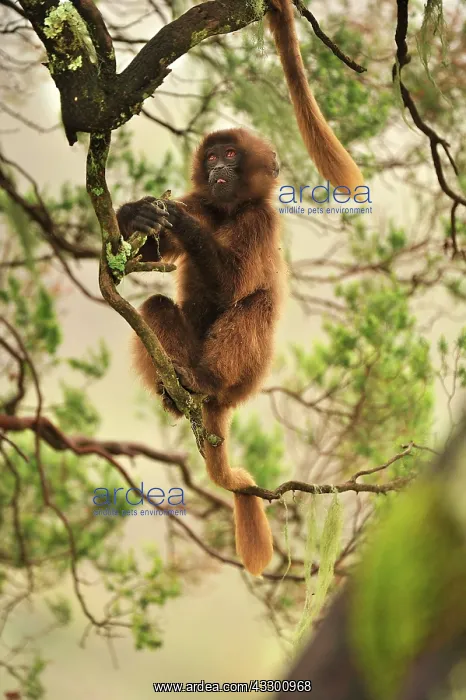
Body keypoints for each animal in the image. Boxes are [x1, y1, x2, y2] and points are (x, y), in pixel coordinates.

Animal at [116, 1, 364, 576]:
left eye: (231, 156)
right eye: (211, 160)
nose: (218, 170)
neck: (226, 212)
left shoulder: (259, 221)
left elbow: (232, 282)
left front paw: (181, 223)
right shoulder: (207, 200)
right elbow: (150, 260)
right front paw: (135, 214)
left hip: (245, 377)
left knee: (257, 304)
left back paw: (205, 381)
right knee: (157, 303)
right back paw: (178, 389)